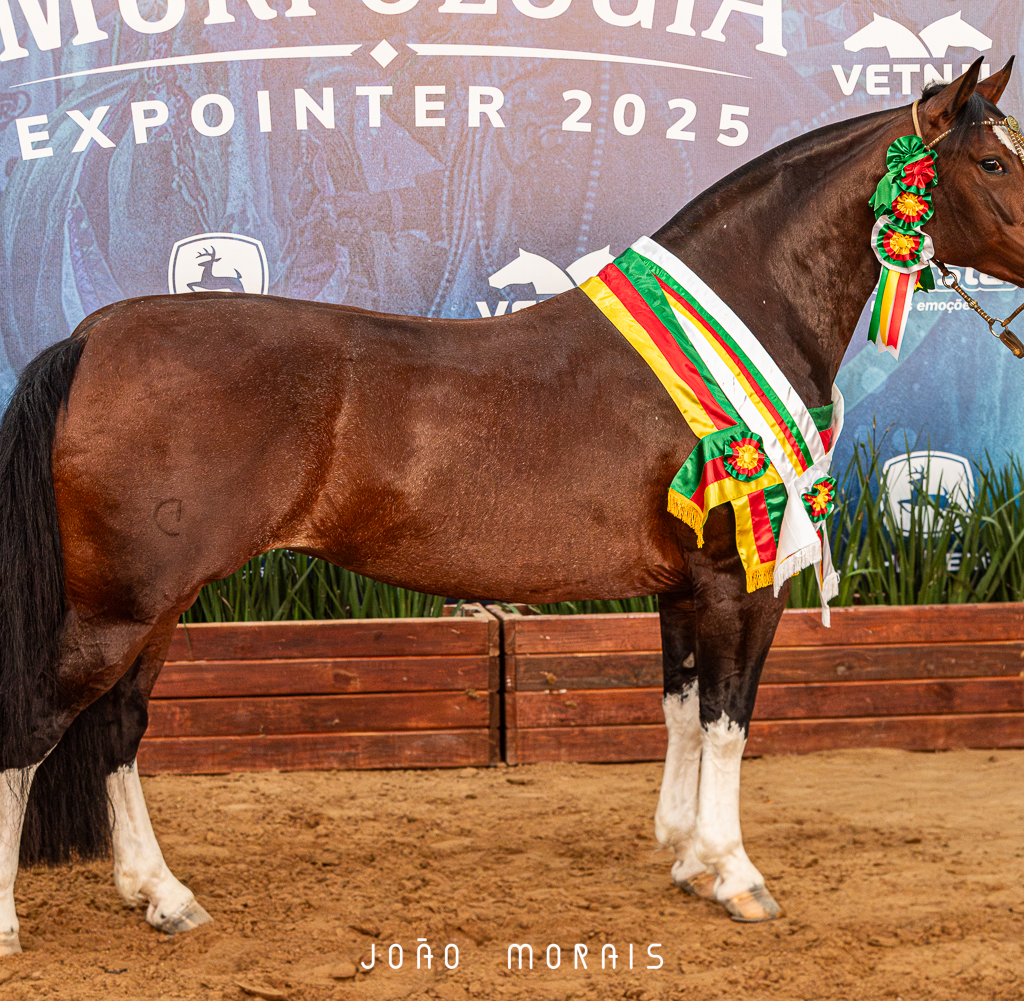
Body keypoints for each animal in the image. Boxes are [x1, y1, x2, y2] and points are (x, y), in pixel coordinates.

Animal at [1, 58, 1021, 953]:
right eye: (993, 161)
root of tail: (91, 338)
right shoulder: (742, 579)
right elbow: (729, 721)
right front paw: (736, 873)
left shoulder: (681, 586)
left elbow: (682, 710)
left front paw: (687, 858)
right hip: (121, 606)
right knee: (37, 725)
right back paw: (17, 925)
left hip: (153, 604)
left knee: (119, 729)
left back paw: (163, 896)